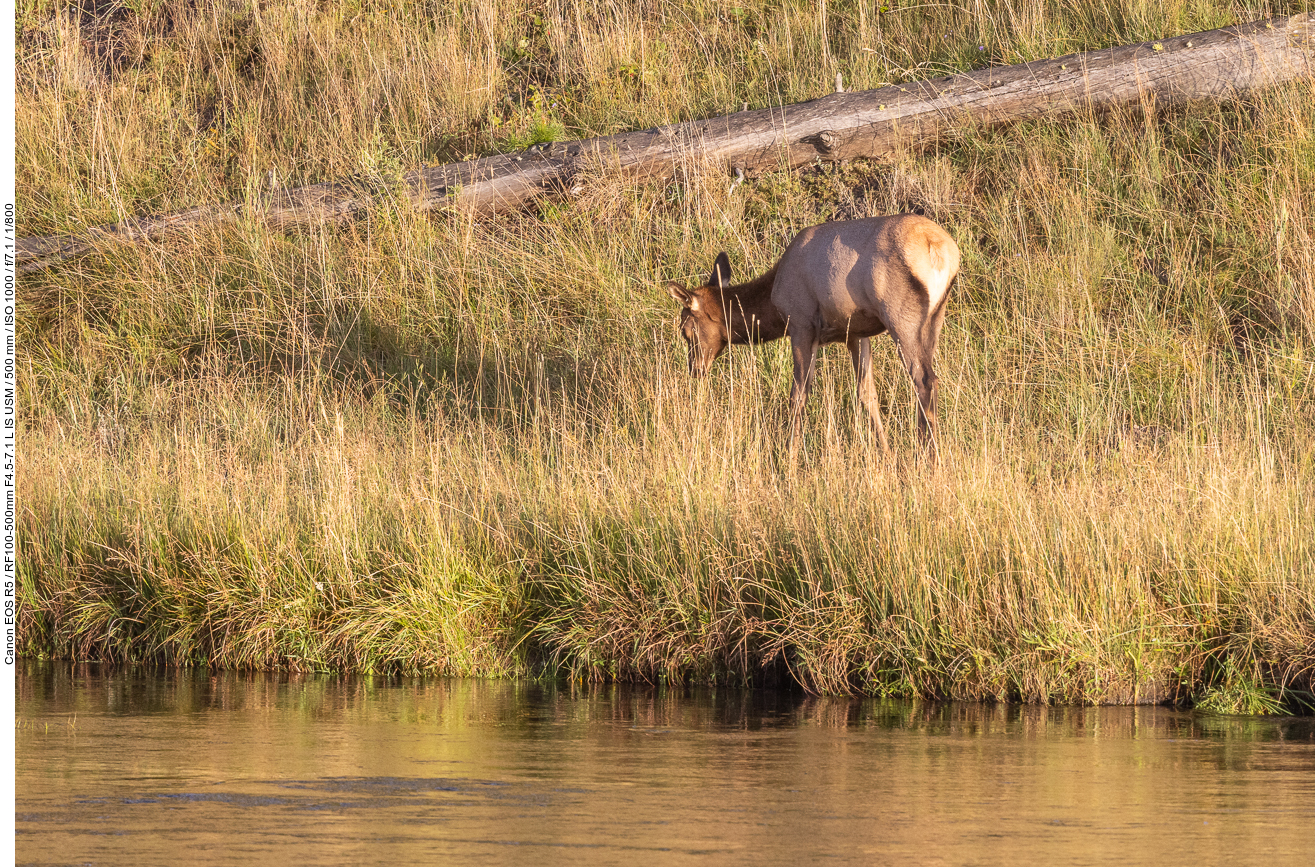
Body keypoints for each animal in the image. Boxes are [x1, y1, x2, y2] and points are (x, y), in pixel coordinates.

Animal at [662, 214, 962, 455]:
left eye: (686, 330)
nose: (695, 369)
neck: (772, 303)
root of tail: (941, 249)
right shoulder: (856, 333)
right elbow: (867, 394)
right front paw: (887, 454)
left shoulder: (801, 324)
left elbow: (798, 394)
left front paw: (789, 458)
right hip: (935, 317)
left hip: (901, 317)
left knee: (924, 380)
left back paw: (928, 457)